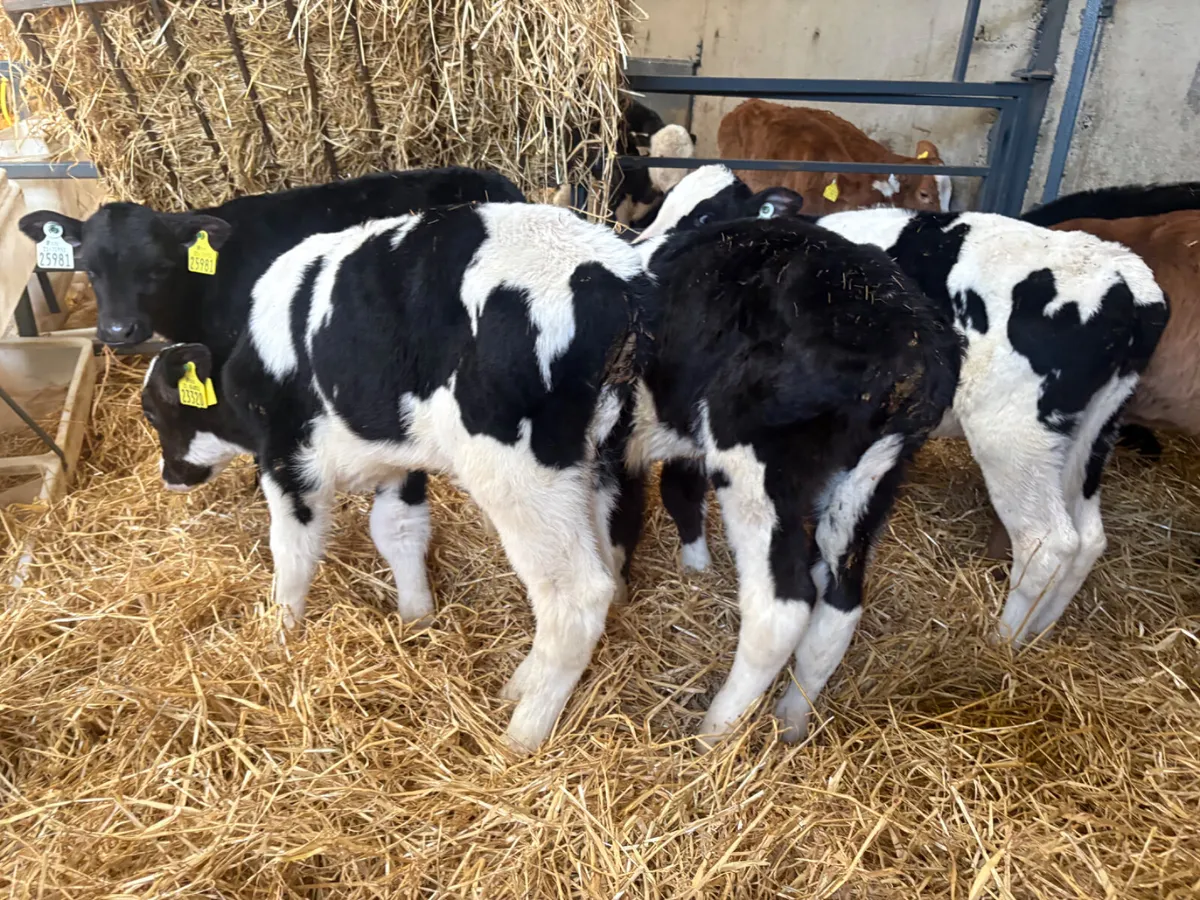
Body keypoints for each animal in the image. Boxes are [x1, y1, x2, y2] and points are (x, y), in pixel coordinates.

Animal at [139, 202, 651, 753]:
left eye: (154, 412)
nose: (169, 475)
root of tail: (613, 277)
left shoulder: (286, 459)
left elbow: (292, 551)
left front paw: (281, 631)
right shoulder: (398, 460)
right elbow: (398, 531)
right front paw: (417, 616)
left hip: (519, 472)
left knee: (577, 592)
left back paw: (520, 735)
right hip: (602, 461)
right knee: (610, 560)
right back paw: (520, 685)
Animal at [620, 165, 961, 746]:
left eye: (706, 215)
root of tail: (911, 344)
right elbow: (677, 494)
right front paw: (695, 568)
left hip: (753, 463)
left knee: (782, 606)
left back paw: (713, 733)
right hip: (870, 480)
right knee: (841, 601)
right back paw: (792, 719)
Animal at [637, 165, 1168, 654]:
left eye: (705, 215)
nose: (643, 249)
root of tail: (1129, 279)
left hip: (1015, 438)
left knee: (1048, 543)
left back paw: (1002, 647)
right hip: (1091, 435)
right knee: (1090, 537)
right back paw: (1040, 636)